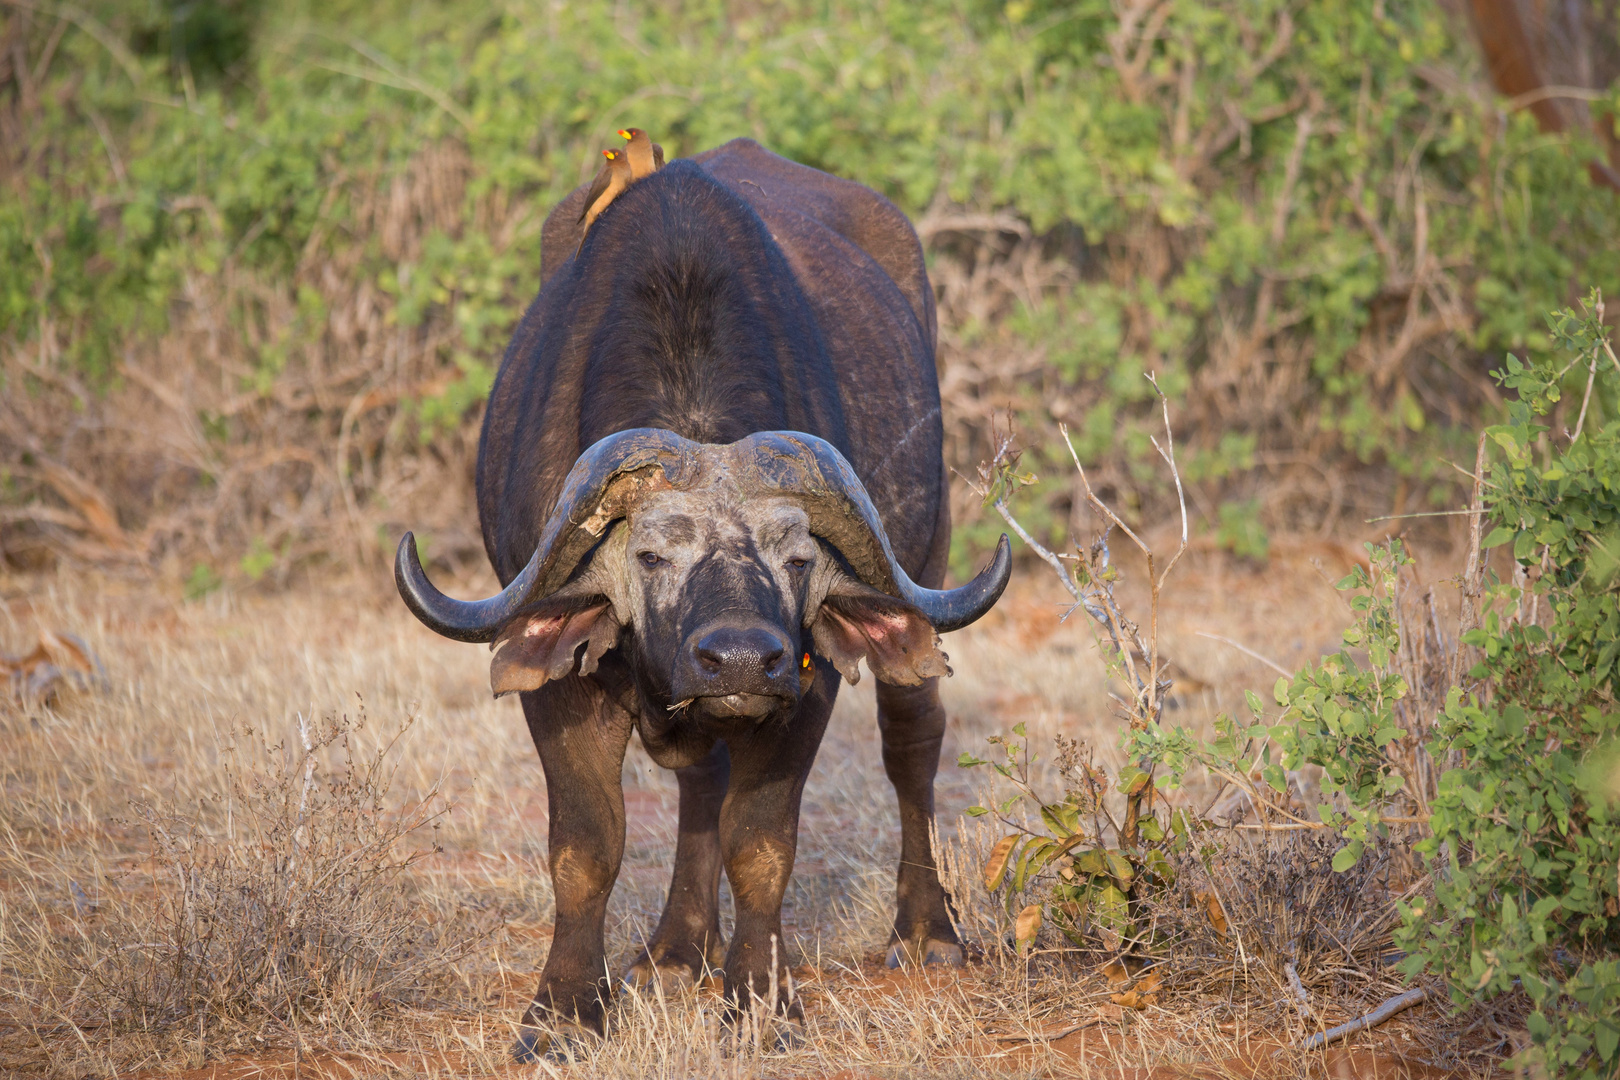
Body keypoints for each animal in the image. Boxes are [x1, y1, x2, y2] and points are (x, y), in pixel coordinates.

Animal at [395, 137, 997, 1055]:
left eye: (798, 557)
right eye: (650, 555)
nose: (743, 659)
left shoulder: (807, 686)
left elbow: (763, 847)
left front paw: (759, 1001)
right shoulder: (560, 681)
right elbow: (587, 847)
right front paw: (564, 1011)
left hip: (925, 567)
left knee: (912, 743)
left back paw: (927, 930)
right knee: (701, 784)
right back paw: (678, 948)